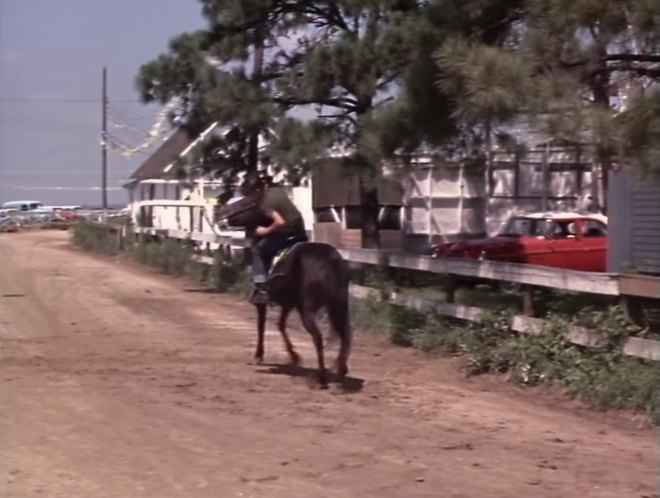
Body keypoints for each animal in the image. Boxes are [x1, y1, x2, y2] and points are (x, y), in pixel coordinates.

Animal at [217, 196, 350, 388]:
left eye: (242, 203)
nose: (220, 215)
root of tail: (329, 260)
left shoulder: (263, 303)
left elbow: (261, 326)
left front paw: (259, 355)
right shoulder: (288, 303)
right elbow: (280, 325)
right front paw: (294, 357)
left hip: (307, 310)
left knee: (318, 338)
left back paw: (321, 378)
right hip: (339, 304)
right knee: (345, 334)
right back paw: (340, 369)